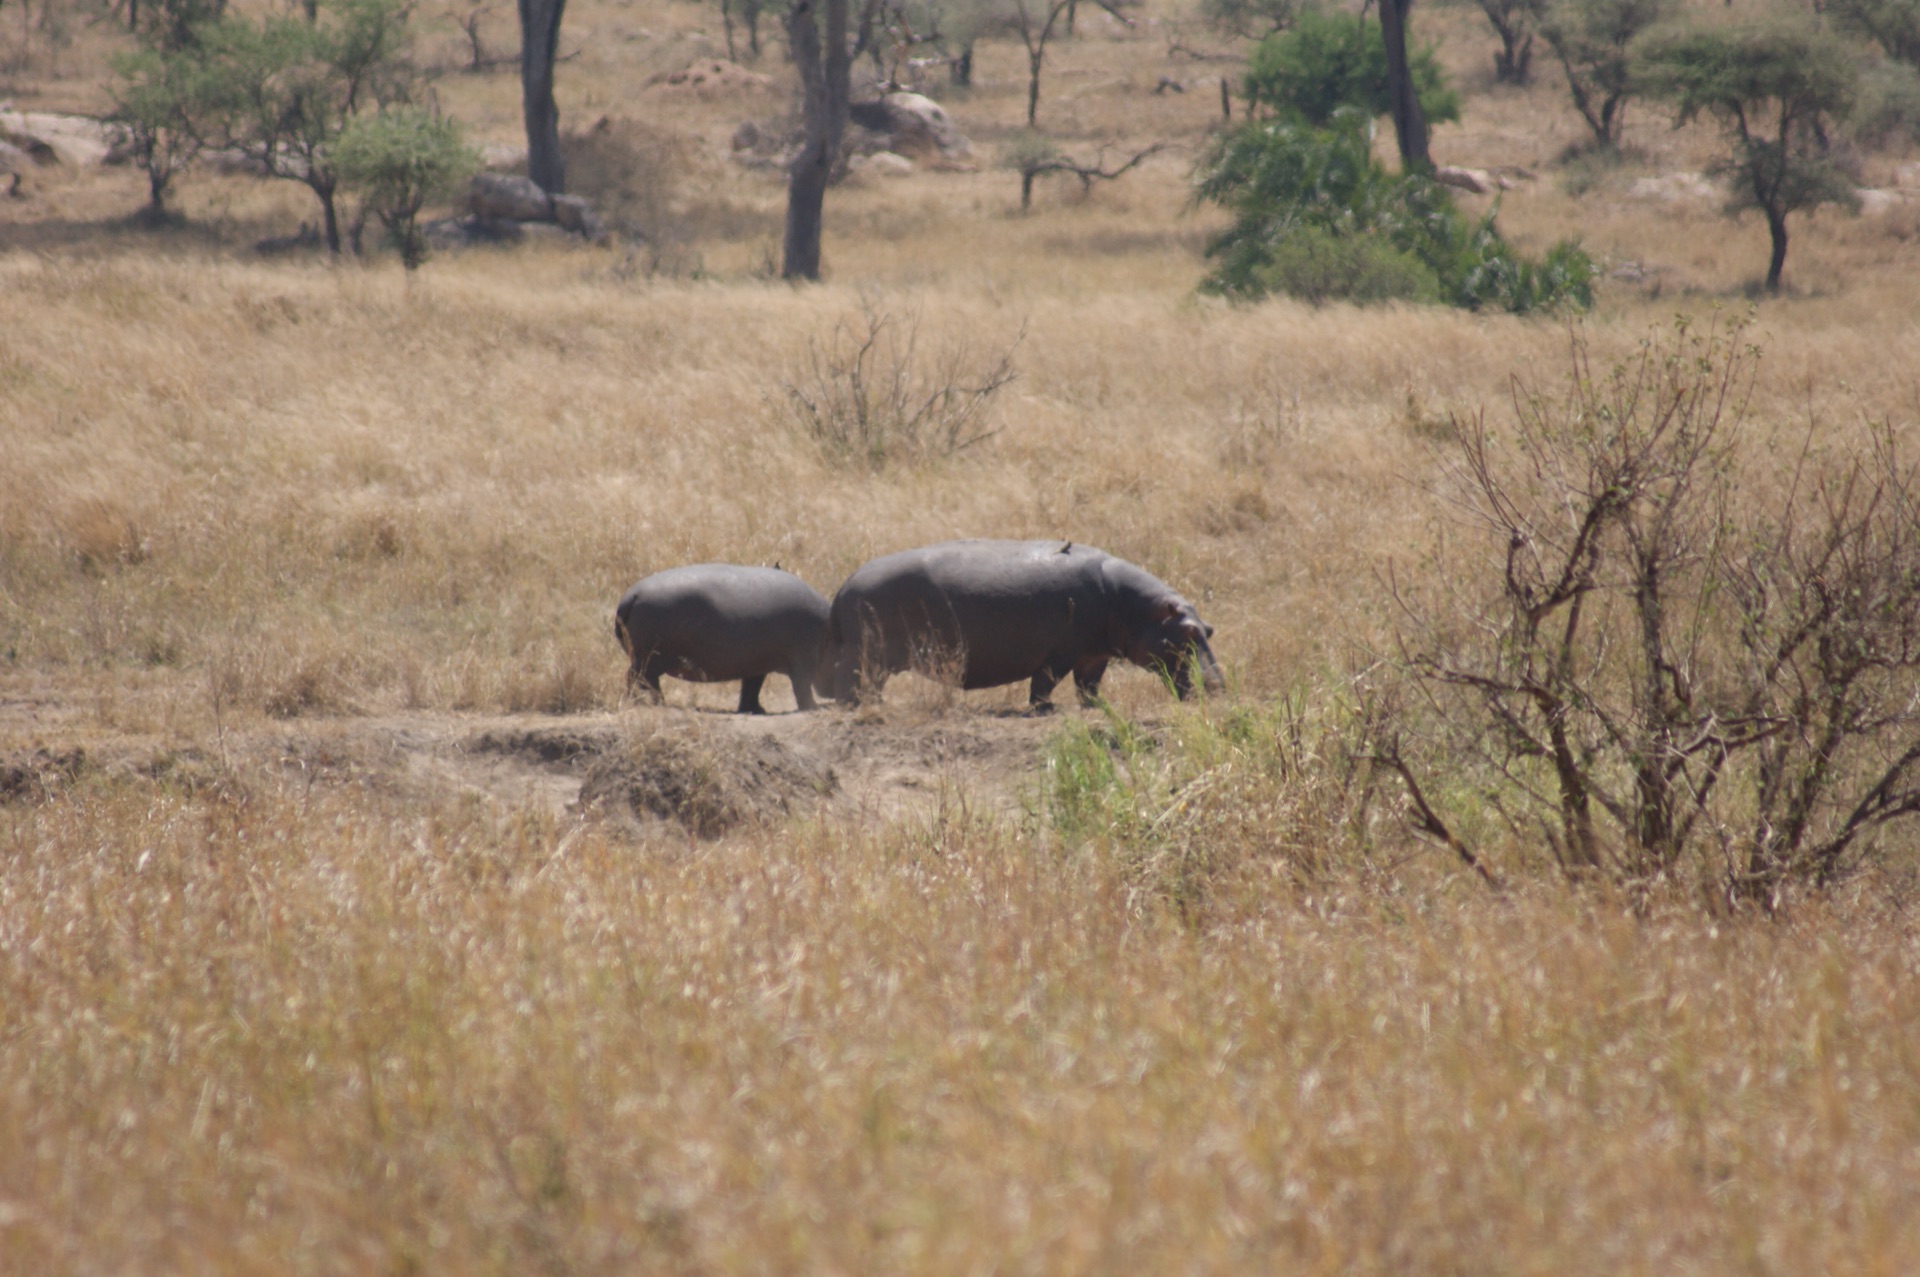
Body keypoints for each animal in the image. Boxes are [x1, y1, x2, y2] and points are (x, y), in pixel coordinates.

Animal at [610, 564, 829, 710]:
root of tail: (632, 595)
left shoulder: (757, 663)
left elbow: (752, 687)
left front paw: (756, 710)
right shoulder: (804, 657)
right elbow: (801, 686)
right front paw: (814, 708)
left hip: (646, 658)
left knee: (641, 679)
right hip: (650, 658)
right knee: (639, 679)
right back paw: (655, 703)